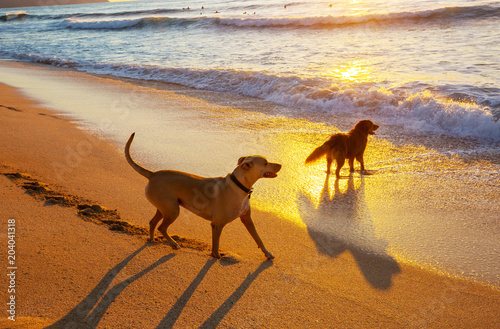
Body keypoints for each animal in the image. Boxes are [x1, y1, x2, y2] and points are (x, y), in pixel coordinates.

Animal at [125, 132, 282, 258]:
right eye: (266, 162)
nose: (281, 165)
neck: (239, 185)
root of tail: (153, 174)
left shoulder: (247, 219)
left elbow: (258, 238)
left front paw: (267, 253)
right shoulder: (217, 224)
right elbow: (216, 245)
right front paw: (216, 256)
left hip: (165, 208)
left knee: (153, 223)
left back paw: (151, 239)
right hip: (173, 210)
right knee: (161, 227)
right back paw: (173, 244)